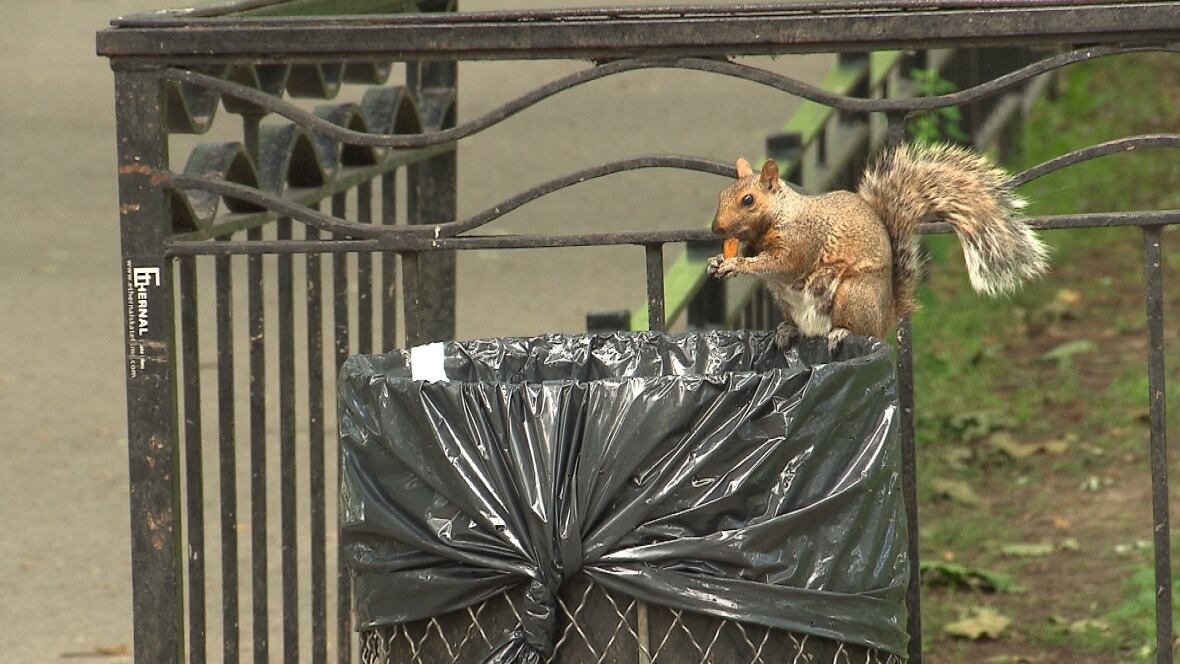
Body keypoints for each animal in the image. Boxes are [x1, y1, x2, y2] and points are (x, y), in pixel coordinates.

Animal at [707, 142, 1049, 350]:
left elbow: (779, 264)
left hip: (853, 296)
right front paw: (716, 261)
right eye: (720, 195)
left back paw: (841, 332)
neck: (780, 214)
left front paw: (736, 264)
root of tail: (886, 316)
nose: (716, 229)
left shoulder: (803, 241)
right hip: (786, 302)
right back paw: (787, 331)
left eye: (748, 200)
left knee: (859, 330)